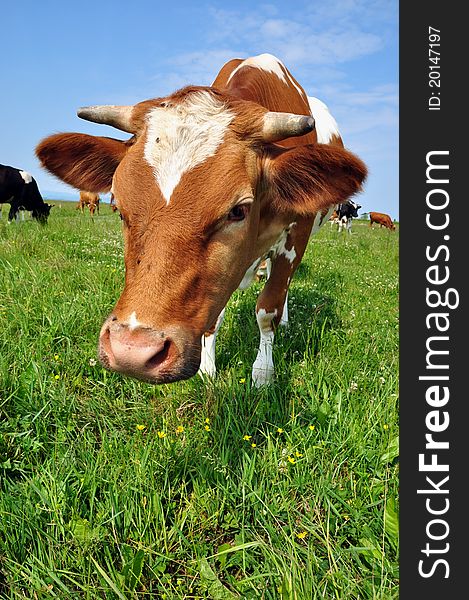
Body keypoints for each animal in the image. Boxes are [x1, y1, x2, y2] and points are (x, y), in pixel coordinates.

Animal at [35, 54, 366, 386]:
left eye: (238, 210)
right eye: (119, 206)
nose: (132, 351)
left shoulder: (297, 234)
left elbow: (267, 308)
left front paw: (263, 372)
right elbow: (214, 316)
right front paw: (208, 368)